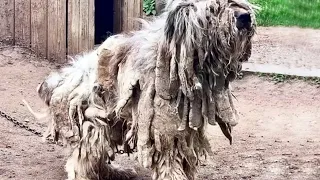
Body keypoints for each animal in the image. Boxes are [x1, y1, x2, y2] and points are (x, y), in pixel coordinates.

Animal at [25, 0, 260, 179]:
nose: (245, 17)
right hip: (93, 123)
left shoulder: (184, 129)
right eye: (214, 8)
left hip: (112, 123)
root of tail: (59, 81)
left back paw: (115, 171)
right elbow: (169, 163)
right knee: (83, 160)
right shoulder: (163, 129)